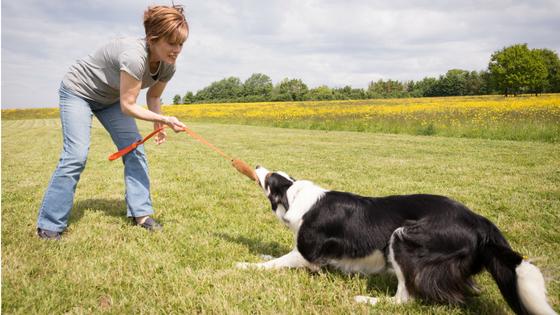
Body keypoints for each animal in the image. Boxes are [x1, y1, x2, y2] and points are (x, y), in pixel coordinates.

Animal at [237, 167, 556, 314]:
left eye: (269, 178)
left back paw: (368, 299)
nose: (257, 165)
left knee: (405, 298)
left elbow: (280, 261)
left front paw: (246, 265)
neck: (295, 196)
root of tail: (480, 221)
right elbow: (276, 256)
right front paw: (262, 256)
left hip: (403, 239)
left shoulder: (307, 251)